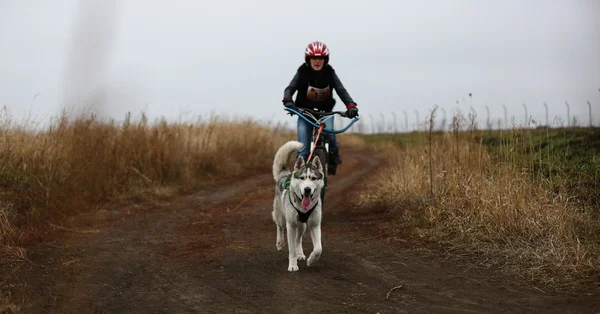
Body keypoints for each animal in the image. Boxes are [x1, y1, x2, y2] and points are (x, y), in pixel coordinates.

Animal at [274, 141, 326, 272]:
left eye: (313, 178)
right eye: (302, 178)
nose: (307, 189)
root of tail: (287, 175)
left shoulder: (314, 224)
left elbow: (318, 249)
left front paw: (311, 260)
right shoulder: (291, 225)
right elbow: (291, 250)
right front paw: (293, 265)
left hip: (302, 226)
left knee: (298, 239)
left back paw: (300, 254)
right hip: (282, 218)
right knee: (279, 227)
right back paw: (280, 243)